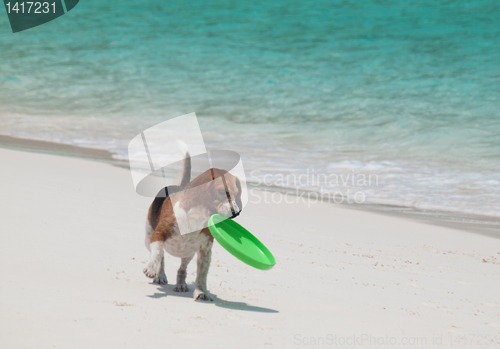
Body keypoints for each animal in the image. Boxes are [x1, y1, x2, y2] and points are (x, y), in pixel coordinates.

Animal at [143, 152, 242, 300]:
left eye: (237, 194)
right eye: (221, 191)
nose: (237, 212)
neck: (197, 214)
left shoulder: (205, 249)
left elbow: (202, 274)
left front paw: (201, 292)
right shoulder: (159, 233)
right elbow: (157, 254)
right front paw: (151, 268)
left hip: (188, 252)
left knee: (182, 269)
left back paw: (181, 284)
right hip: (148, 237)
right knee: (161, 258)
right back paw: (160, 276)